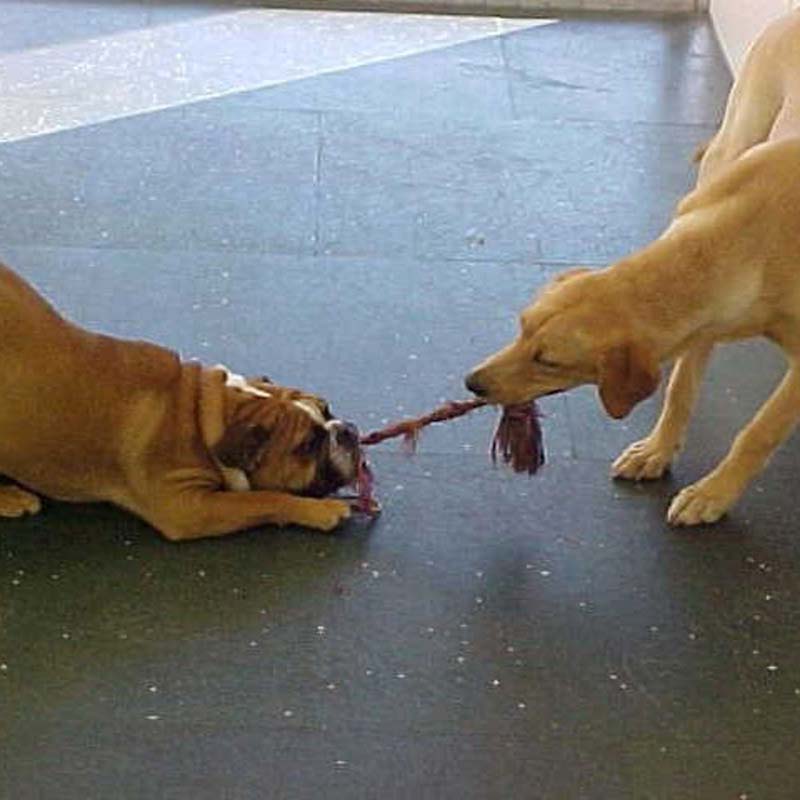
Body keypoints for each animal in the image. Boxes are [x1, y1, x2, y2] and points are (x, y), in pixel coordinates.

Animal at [0, 266, 356, 540]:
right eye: (308, 445)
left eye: (327, 408)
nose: (347, 431)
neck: (208, 414)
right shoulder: (186, 506)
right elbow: (264, 499)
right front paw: (320, 510)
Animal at [466, 12, 800, 528]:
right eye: (521, 326)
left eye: (550, 360)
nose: (473, 384)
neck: (749, 236)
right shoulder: (703, 321)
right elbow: (679, 389)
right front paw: (658, 452)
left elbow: (758, 432)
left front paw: (714, 493)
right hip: (738, 133)